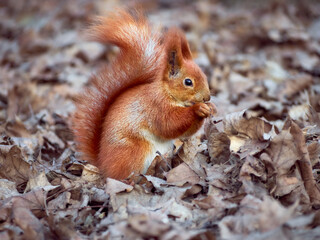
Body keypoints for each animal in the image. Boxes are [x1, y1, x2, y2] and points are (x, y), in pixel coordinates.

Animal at [72, 10, 216, 181]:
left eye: (204, 75)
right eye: (188, 82)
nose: (207, 97)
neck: (167, 92)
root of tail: (102, 165)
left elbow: (184, 132)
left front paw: (210, 107)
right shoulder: (155, 106)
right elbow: (170, 124)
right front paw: (198, 109)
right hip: (135, 151)